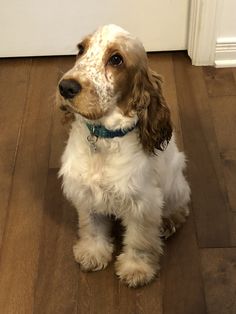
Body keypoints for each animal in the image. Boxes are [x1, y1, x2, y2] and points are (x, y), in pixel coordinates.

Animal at [56, 24, 190, 288]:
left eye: (116, 59)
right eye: (81, 49)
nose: (66, 87)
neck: (103, 138)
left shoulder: (142, 203)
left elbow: (139, 240)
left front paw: (136, 270)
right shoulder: (86, 193)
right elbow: (92, 227)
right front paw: (92, 254)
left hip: (176, 184)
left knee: (181, 208)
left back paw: (169, 223)